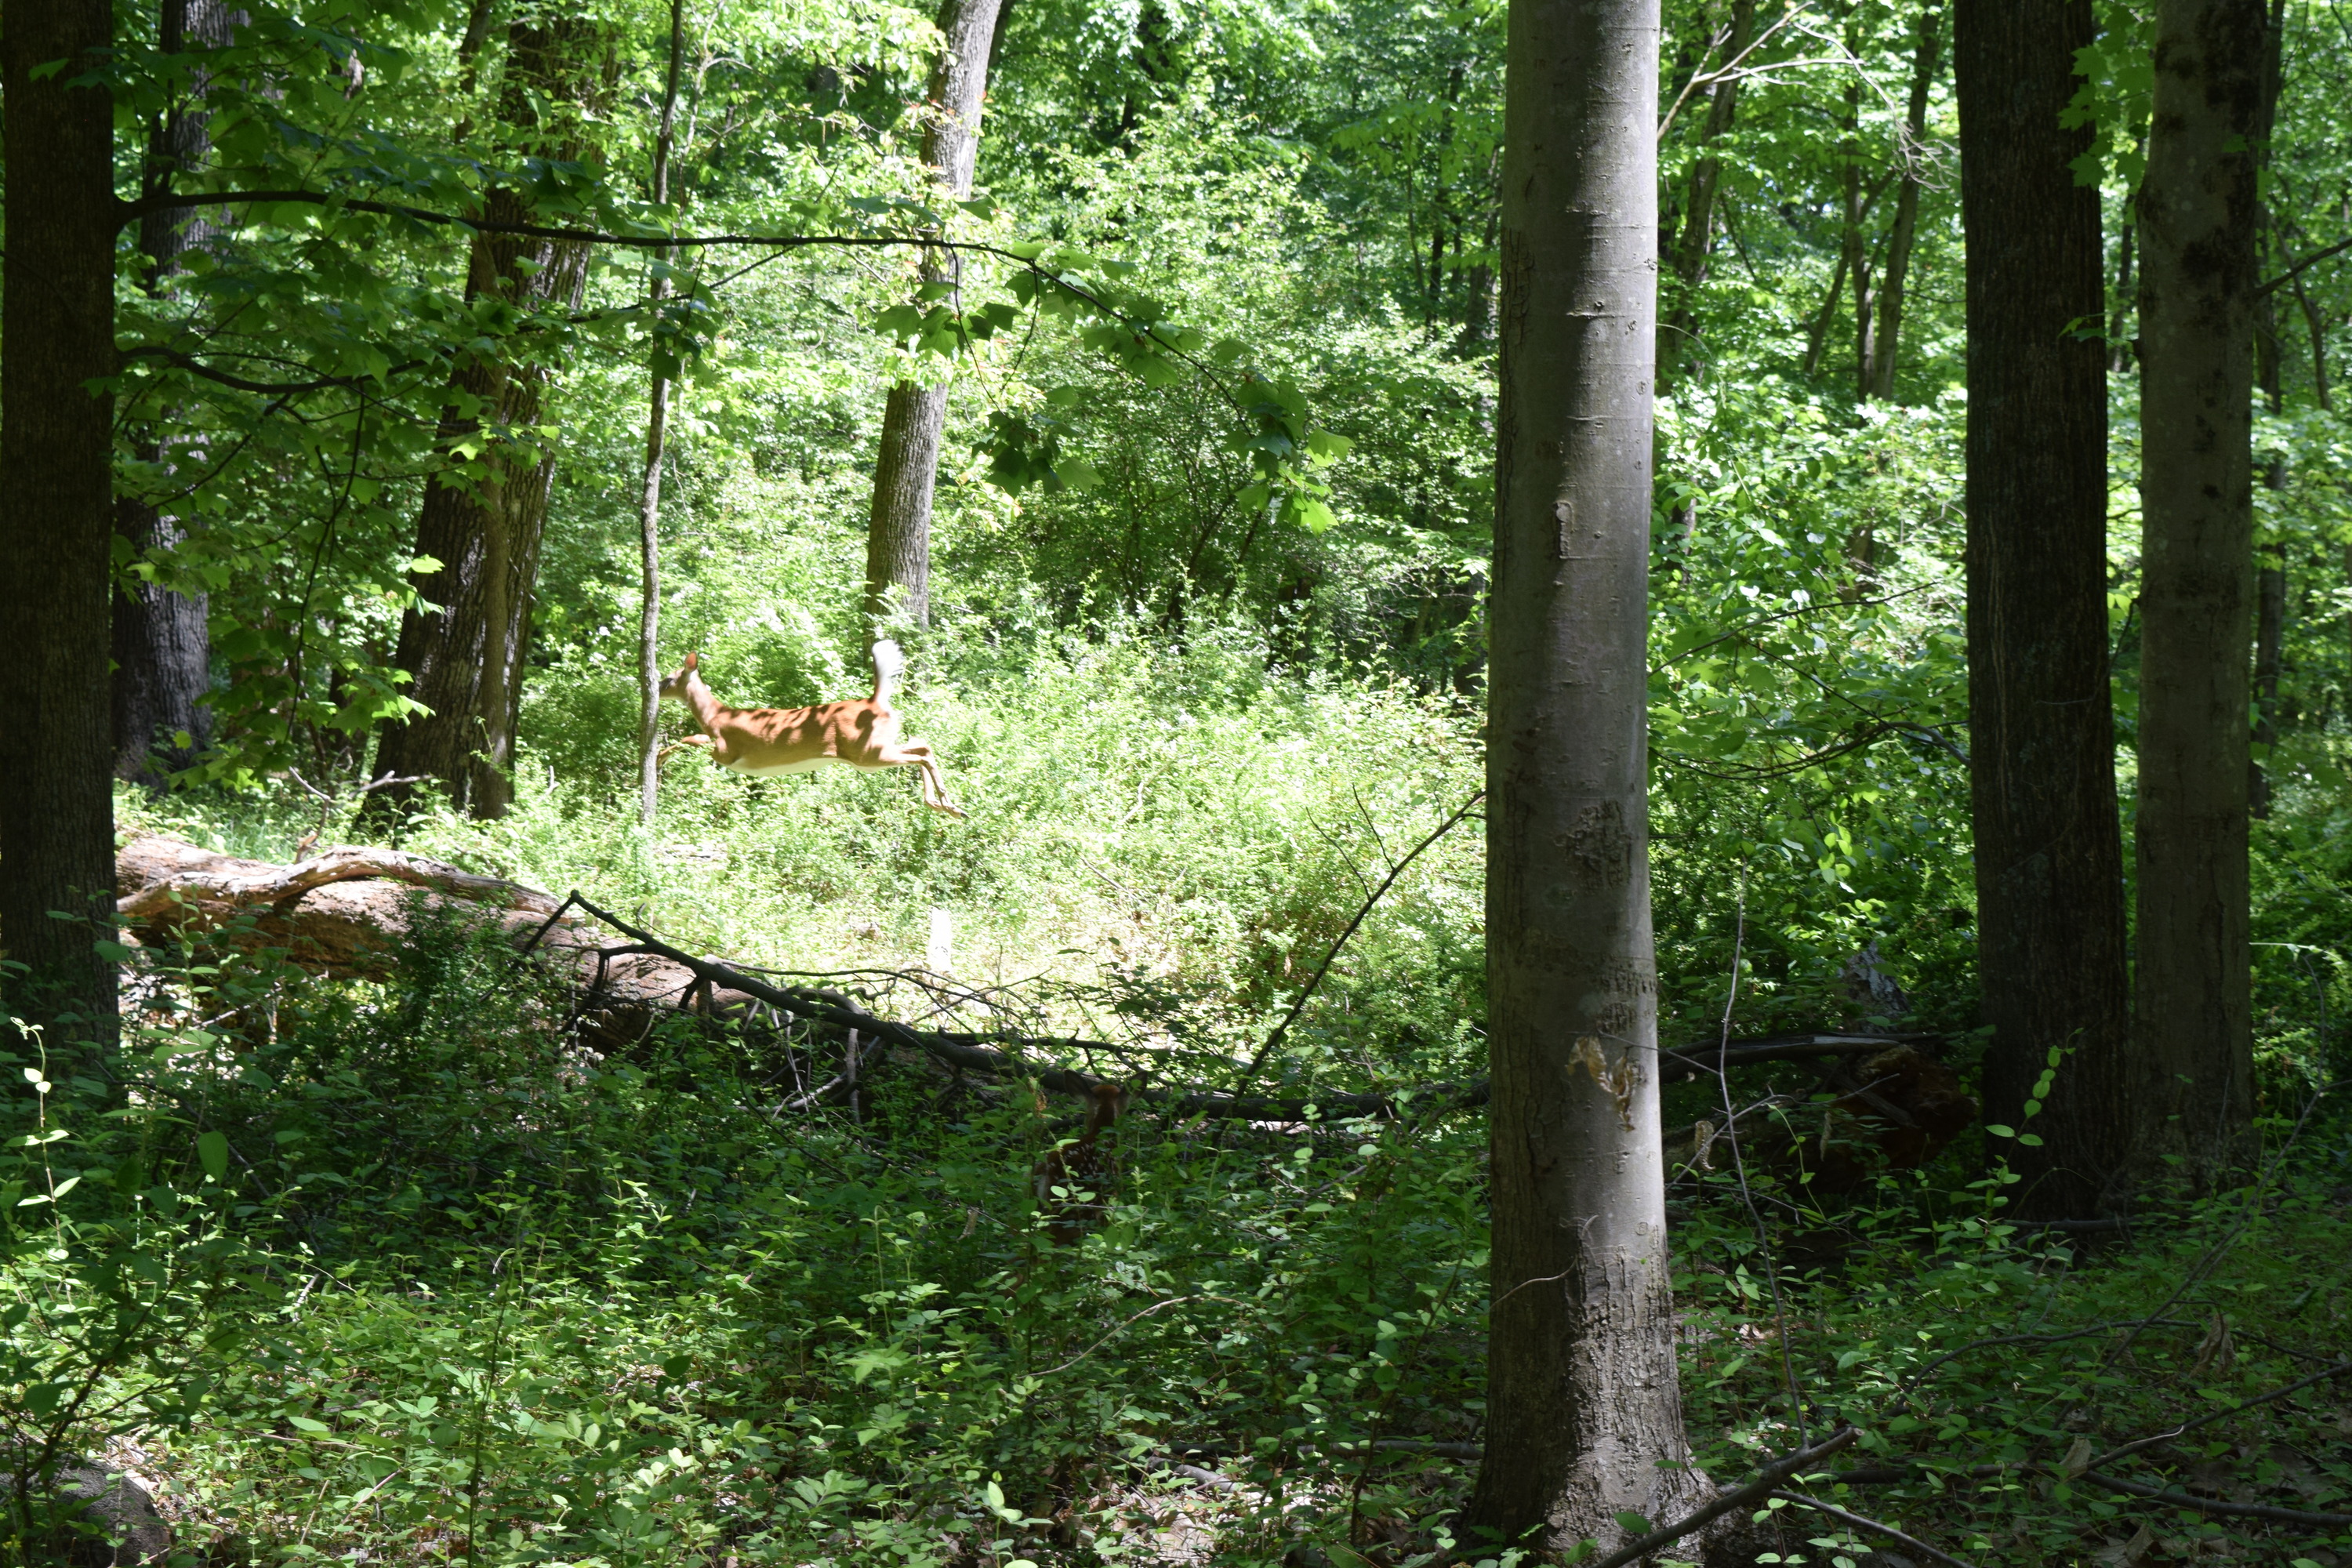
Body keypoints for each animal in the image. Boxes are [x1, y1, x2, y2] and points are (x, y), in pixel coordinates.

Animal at [657, 641, 967, 817]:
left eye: (668, 679)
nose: (654, 689)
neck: (715, 716)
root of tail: (875, 701)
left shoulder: (727, 750)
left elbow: (692, 738)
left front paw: (659, 757)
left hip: (866, 752)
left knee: (921, 753)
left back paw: (947, 804)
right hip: (873, 749)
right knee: (922, 743)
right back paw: (946, 807)